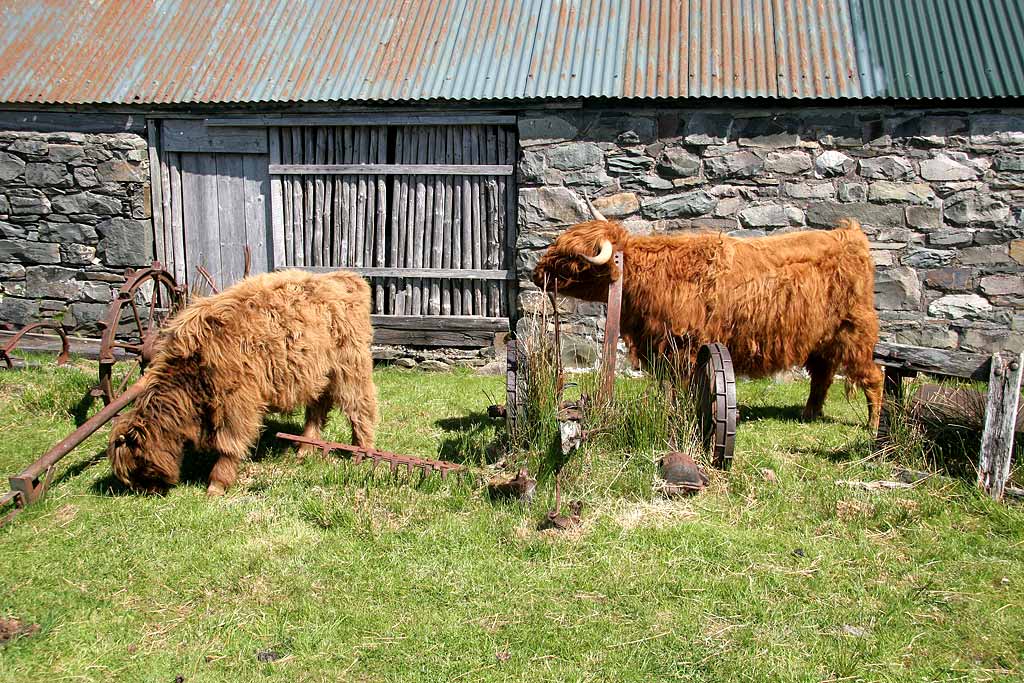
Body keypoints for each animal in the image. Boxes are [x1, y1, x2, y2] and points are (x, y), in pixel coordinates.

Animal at [107, 268, 376, 497]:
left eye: (138, 466)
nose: (148, 493)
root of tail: (345, 278)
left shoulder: (237, 401)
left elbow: (230, 444)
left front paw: (216, 485)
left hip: (351, 367)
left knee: (360, 408)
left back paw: (362, 452)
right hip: (317, 373)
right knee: (317, 409)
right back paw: (304, 449)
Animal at [532, 200, 884, 430]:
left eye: (571, 261)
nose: (536, 274)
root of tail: (849, 236)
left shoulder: (685, 347)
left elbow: (686, 388)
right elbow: (671, 388)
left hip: (854, 333)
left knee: (873, 377)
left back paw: (872, 425)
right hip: (822, 340)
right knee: (822, 377)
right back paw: (809, 415)